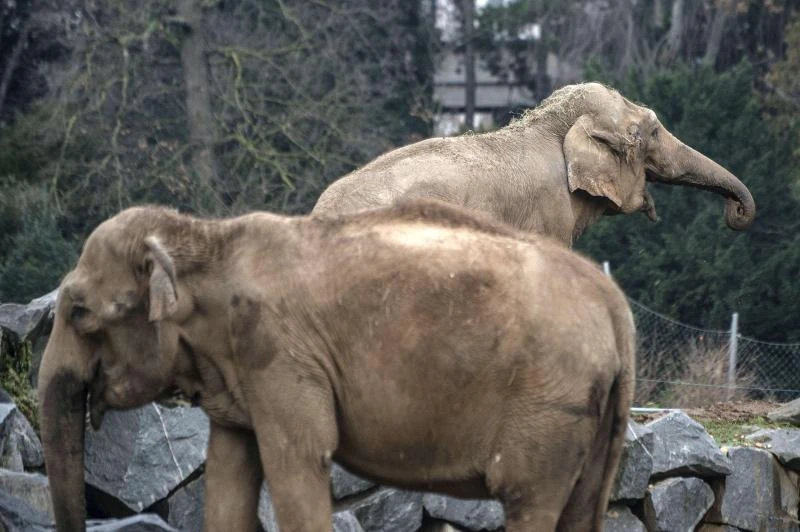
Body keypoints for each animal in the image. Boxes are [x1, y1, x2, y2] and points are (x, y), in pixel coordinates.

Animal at [38, 200, 635, 532]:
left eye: (79, 312)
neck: (208, 237)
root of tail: (616, 307)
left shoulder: (279, 354)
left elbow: (298, 461)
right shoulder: (243, 370)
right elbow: (229, 474)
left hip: (549, 406)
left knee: (527, 501)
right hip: (597, 416)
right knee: (582, 511)